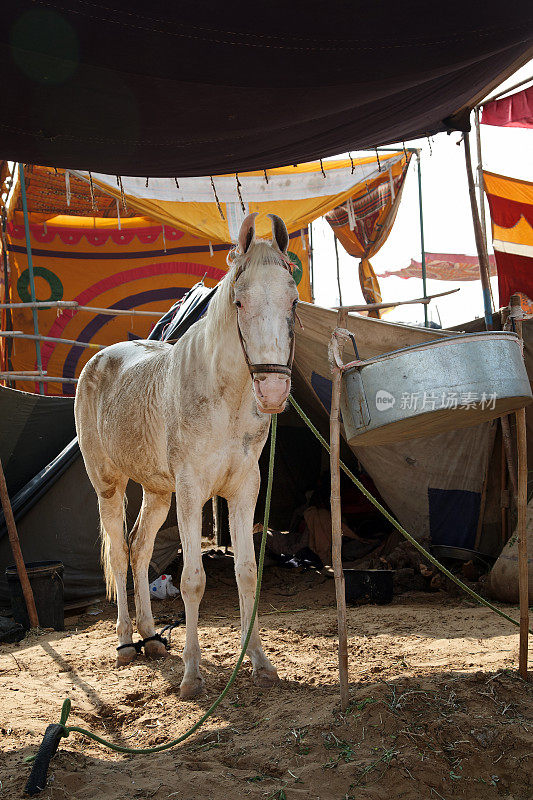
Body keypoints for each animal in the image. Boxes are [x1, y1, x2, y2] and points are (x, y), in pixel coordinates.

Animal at [74, 214, 300, 700]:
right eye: (239, 301)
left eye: (293, 300)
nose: (274, 391)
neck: (226, 397)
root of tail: (97, 362)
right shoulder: (193, 491)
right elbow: (192, 580)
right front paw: (193, 676)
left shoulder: (243, 489)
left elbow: (247, 574)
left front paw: (259, 662)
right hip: (108, 486)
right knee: (119, 553)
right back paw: (126, 643)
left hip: (158, 493)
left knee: (139, 549)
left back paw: (152, 638)